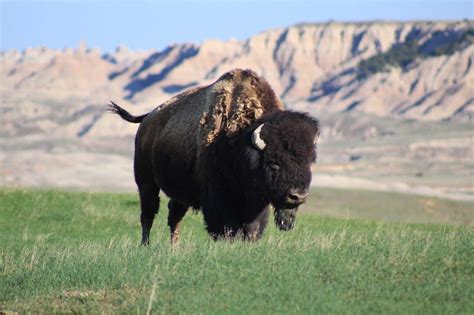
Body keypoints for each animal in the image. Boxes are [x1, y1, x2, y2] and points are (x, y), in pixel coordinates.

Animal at [109, 69, 320, 244]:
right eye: (274, 164)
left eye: (309, 162)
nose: (298, 196)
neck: (240, 141)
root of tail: (147, 119)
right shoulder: (218, 196)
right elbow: (224, 226)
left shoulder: (256, 202)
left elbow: (252, 228)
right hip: (146, 181)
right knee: (148, 213)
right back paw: (145, 244)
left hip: (181, 192)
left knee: (173, 216)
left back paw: (174, 247)